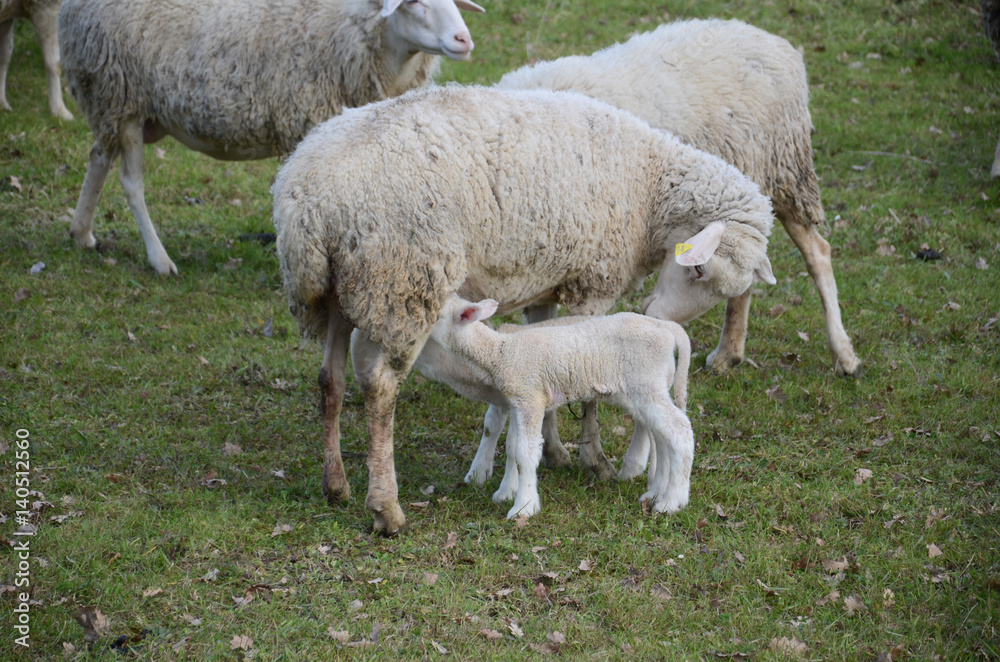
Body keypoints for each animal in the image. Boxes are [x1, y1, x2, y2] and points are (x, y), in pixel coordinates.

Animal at [57, 0, 484, 276]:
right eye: (416, 3)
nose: (464, 40)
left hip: (111, 104)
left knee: (98, 157)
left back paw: (81, 233)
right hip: (121, 95)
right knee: (131, 183)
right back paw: (159, 260)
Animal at [429, 296, 693, 518]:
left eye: (436, 315)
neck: (503, 351)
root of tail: (668, 328)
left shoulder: (531, 397)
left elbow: (525, 452)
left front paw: (523, 507)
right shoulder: (517, 402)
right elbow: (513, 447)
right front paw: (506, 494)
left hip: (646, 381)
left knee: (680, 431)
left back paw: (672, 502)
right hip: (651, 386)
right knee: (662, 435)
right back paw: (655, 492)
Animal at [496, 18, 862, 380]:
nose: (656, 317)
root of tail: (773, 40)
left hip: (783, 172)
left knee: (818, 253)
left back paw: (843, 356)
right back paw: (731, 352)